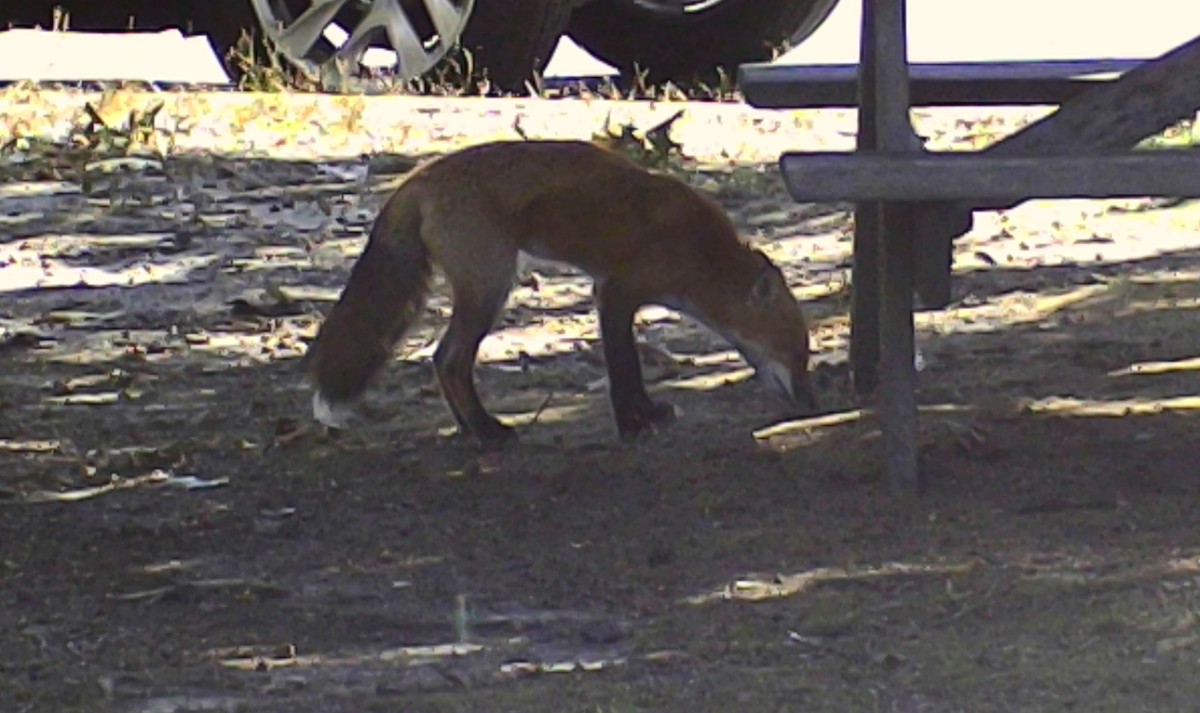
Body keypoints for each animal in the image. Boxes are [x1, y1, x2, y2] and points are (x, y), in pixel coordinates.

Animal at [305, 139, 817, 444]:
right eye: (797, 352)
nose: (809, 403)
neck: (700, 251)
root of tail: (417, 178)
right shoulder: (615, 291)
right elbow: (624, 368)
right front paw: (634, 422)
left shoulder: (614, 293)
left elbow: (627, 367)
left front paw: (643, 414)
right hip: (490, 287)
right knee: (447, 359)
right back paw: (486, 431)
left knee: (443, 361)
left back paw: (470, 429)